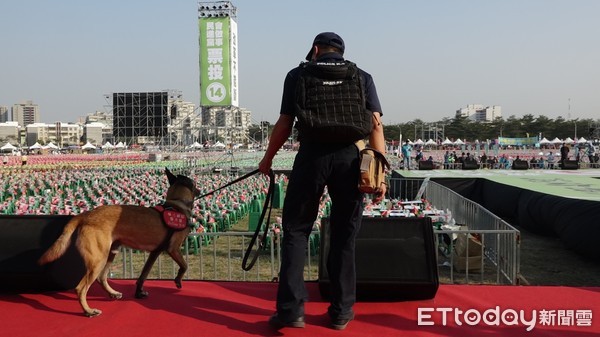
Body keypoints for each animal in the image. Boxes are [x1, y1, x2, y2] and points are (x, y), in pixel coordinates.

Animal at [38, 167, 200, 316]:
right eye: (194, 183)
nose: (199, 190)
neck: (176, 204)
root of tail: (86, 215)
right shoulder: (174, 249)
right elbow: (184, 266)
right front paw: (178, 280)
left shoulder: (154, 253)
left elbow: (143, 275)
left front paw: (139, 293)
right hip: (98, 259)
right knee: (81, 288)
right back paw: (88, 311)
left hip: (111, 253)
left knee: (101, 278)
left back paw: (112, 293)